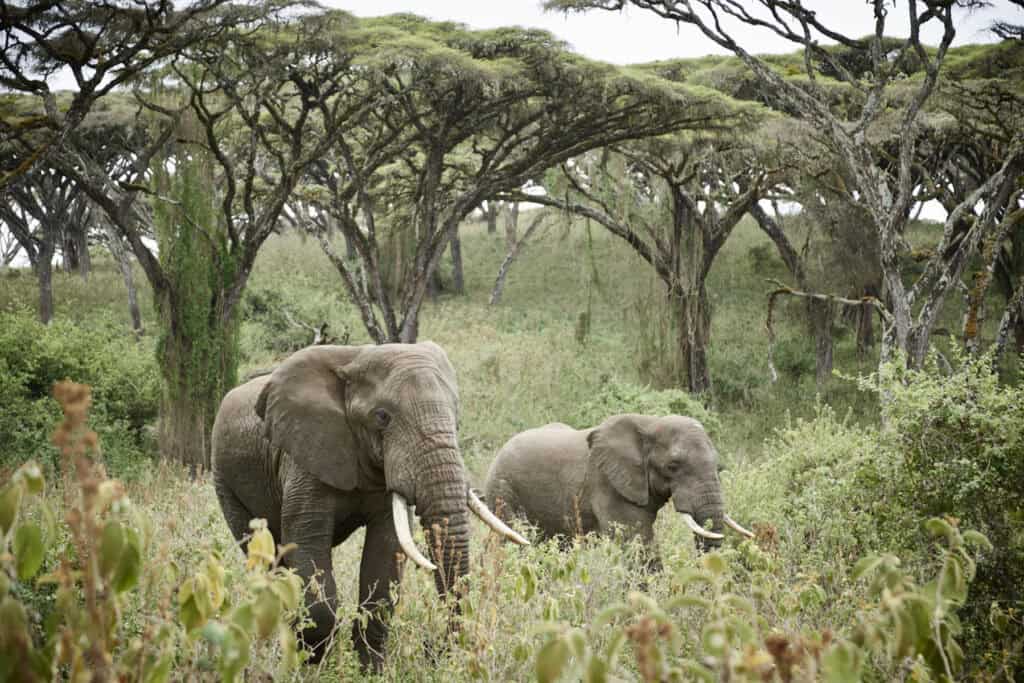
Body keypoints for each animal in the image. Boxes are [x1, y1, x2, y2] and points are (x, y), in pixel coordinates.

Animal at [211, 342, 526, 669]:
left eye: (457, 418)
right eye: (382, 417)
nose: (434, 649)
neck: (356, 358)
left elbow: (386, 552)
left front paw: (369, 669)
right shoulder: (304, 456)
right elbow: (306, 544)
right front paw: (315, 664)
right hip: (225, 480)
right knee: (265, 556)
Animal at [483, 414, 752, 562]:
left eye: (719, 467)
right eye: (673, 466)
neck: (650, 423)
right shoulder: (608, 483)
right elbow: (638, 542)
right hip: (502, 491)